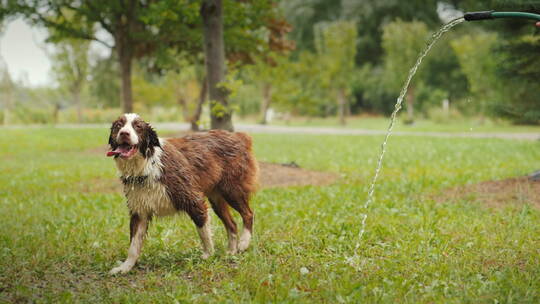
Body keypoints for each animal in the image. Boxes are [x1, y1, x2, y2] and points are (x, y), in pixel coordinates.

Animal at [107, 113, 258, 274]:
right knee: (232, 224)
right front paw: (126, 267)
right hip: (217, 199)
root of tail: (238, 136)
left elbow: (203, 231)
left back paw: (244, 243)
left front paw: (208, 255)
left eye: (138, 127)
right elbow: (133, 246)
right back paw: (231, 251)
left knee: (248, 214)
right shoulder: (139, 212)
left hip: (231, 190)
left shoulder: (193, 200)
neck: (147, 166)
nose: (124, 133)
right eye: (118, 126)